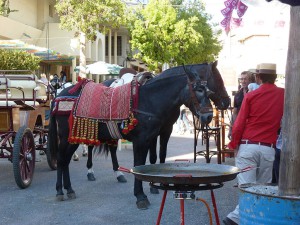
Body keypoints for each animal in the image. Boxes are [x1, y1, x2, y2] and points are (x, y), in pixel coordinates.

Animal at [48, 62, 227, 209]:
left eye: (207, 89)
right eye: (199, 89)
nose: (209, 116)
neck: (149, 100)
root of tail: (60, 94)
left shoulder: (154, 136)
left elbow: (153, 160)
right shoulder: (141, 140)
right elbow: (139, 164)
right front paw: (141, 196)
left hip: (74, 138)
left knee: (66, 160)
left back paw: (69, 188)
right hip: (68, 136)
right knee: (62, 159)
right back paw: (60, 190)